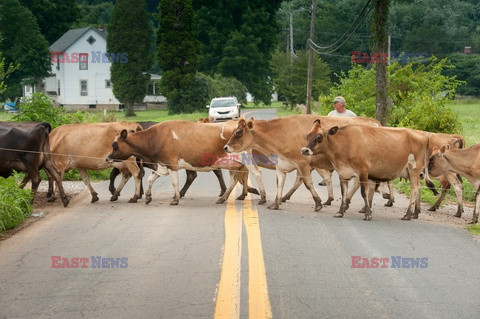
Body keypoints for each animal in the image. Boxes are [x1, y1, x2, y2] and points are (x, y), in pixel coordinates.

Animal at [302, 119, 430, 221]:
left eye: (319, 137)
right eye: (307, 135)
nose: (304, 150)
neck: (344, 144)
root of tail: (422, 134)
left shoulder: (363, 171)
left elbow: (364, 192)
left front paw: (368, 214)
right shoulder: (343, 173)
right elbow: (344, 193)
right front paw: (340, 211)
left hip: (414, 170)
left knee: (414, 189)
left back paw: (407, 215)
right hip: (413, 172)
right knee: (418, 188)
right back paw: (415, 213)